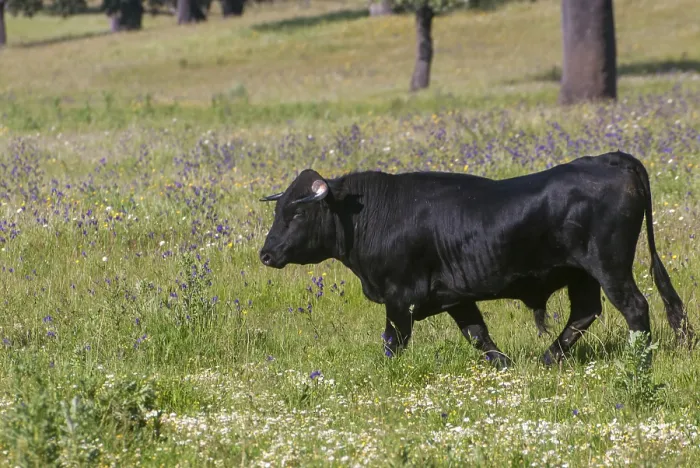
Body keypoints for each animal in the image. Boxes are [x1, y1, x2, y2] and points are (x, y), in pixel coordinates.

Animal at [258, 151, 694, 367]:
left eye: (297, 214)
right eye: (278, 210)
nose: (266, 253)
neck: (376, 214)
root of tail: (608, 158)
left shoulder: (401, 297)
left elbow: (393, 343)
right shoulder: (455, 296)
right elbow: (478, 334)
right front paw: (504, 365)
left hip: (609, 267)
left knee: (635, 308)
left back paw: (640, 364)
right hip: (581, 274)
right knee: (584, 313)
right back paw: (547, 360)